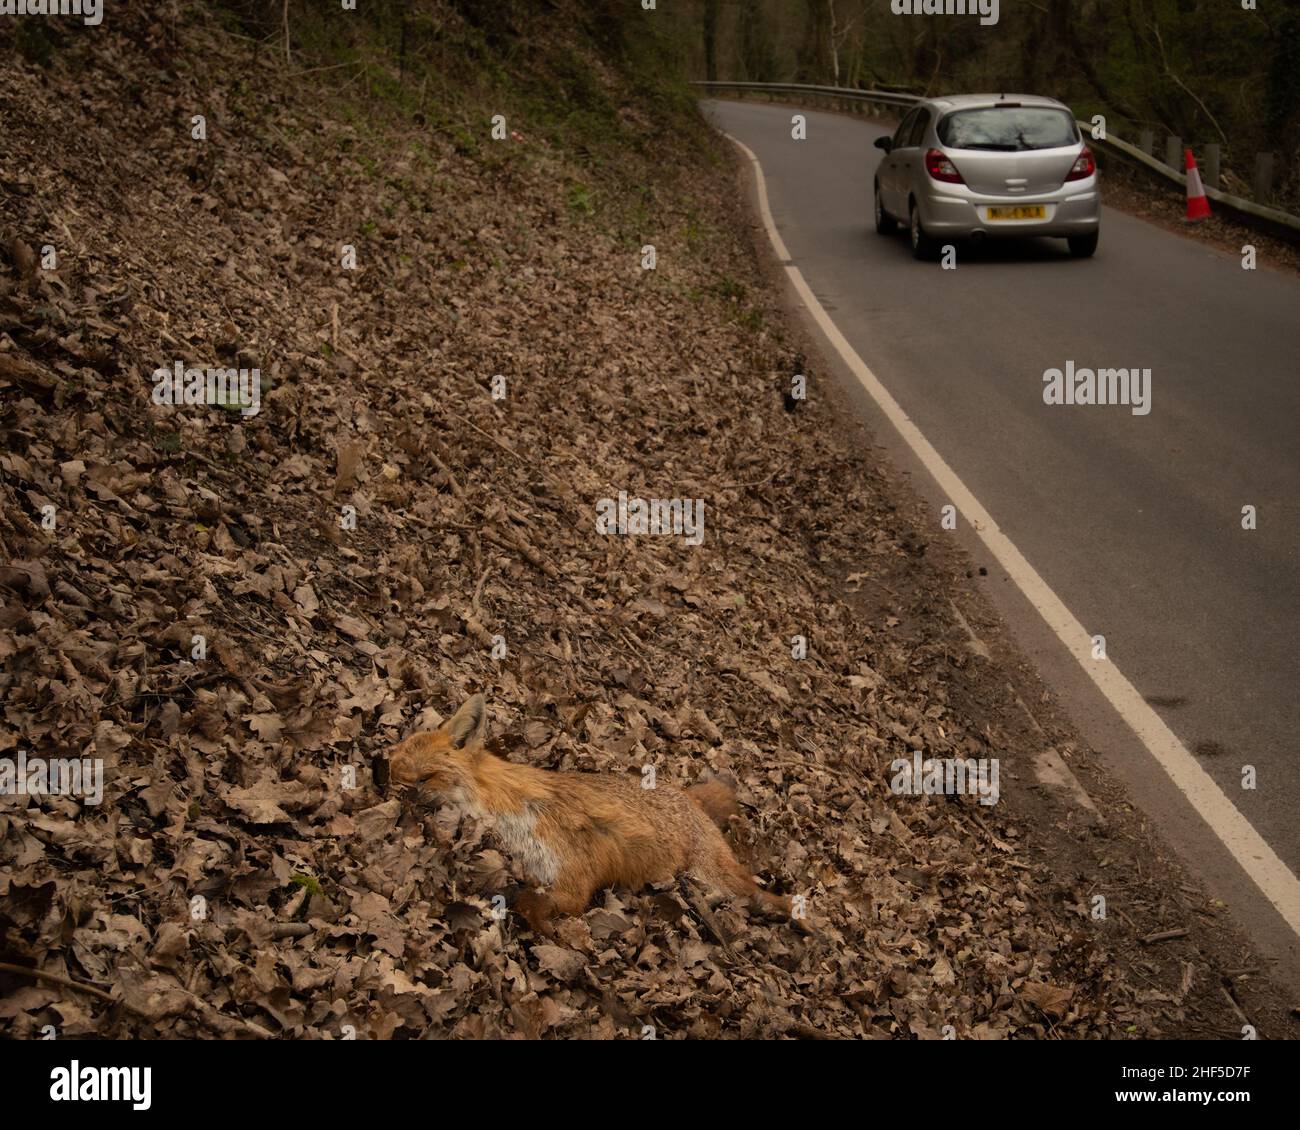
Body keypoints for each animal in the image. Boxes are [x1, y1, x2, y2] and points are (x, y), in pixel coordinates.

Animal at [384, 694, 791, 933]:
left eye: (425, 777)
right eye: (392, 764)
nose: (385, 782)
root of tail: (687, 794)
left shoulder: (573, 874)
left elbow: (533, 902)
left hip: (714, 875)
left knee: (763, 895)